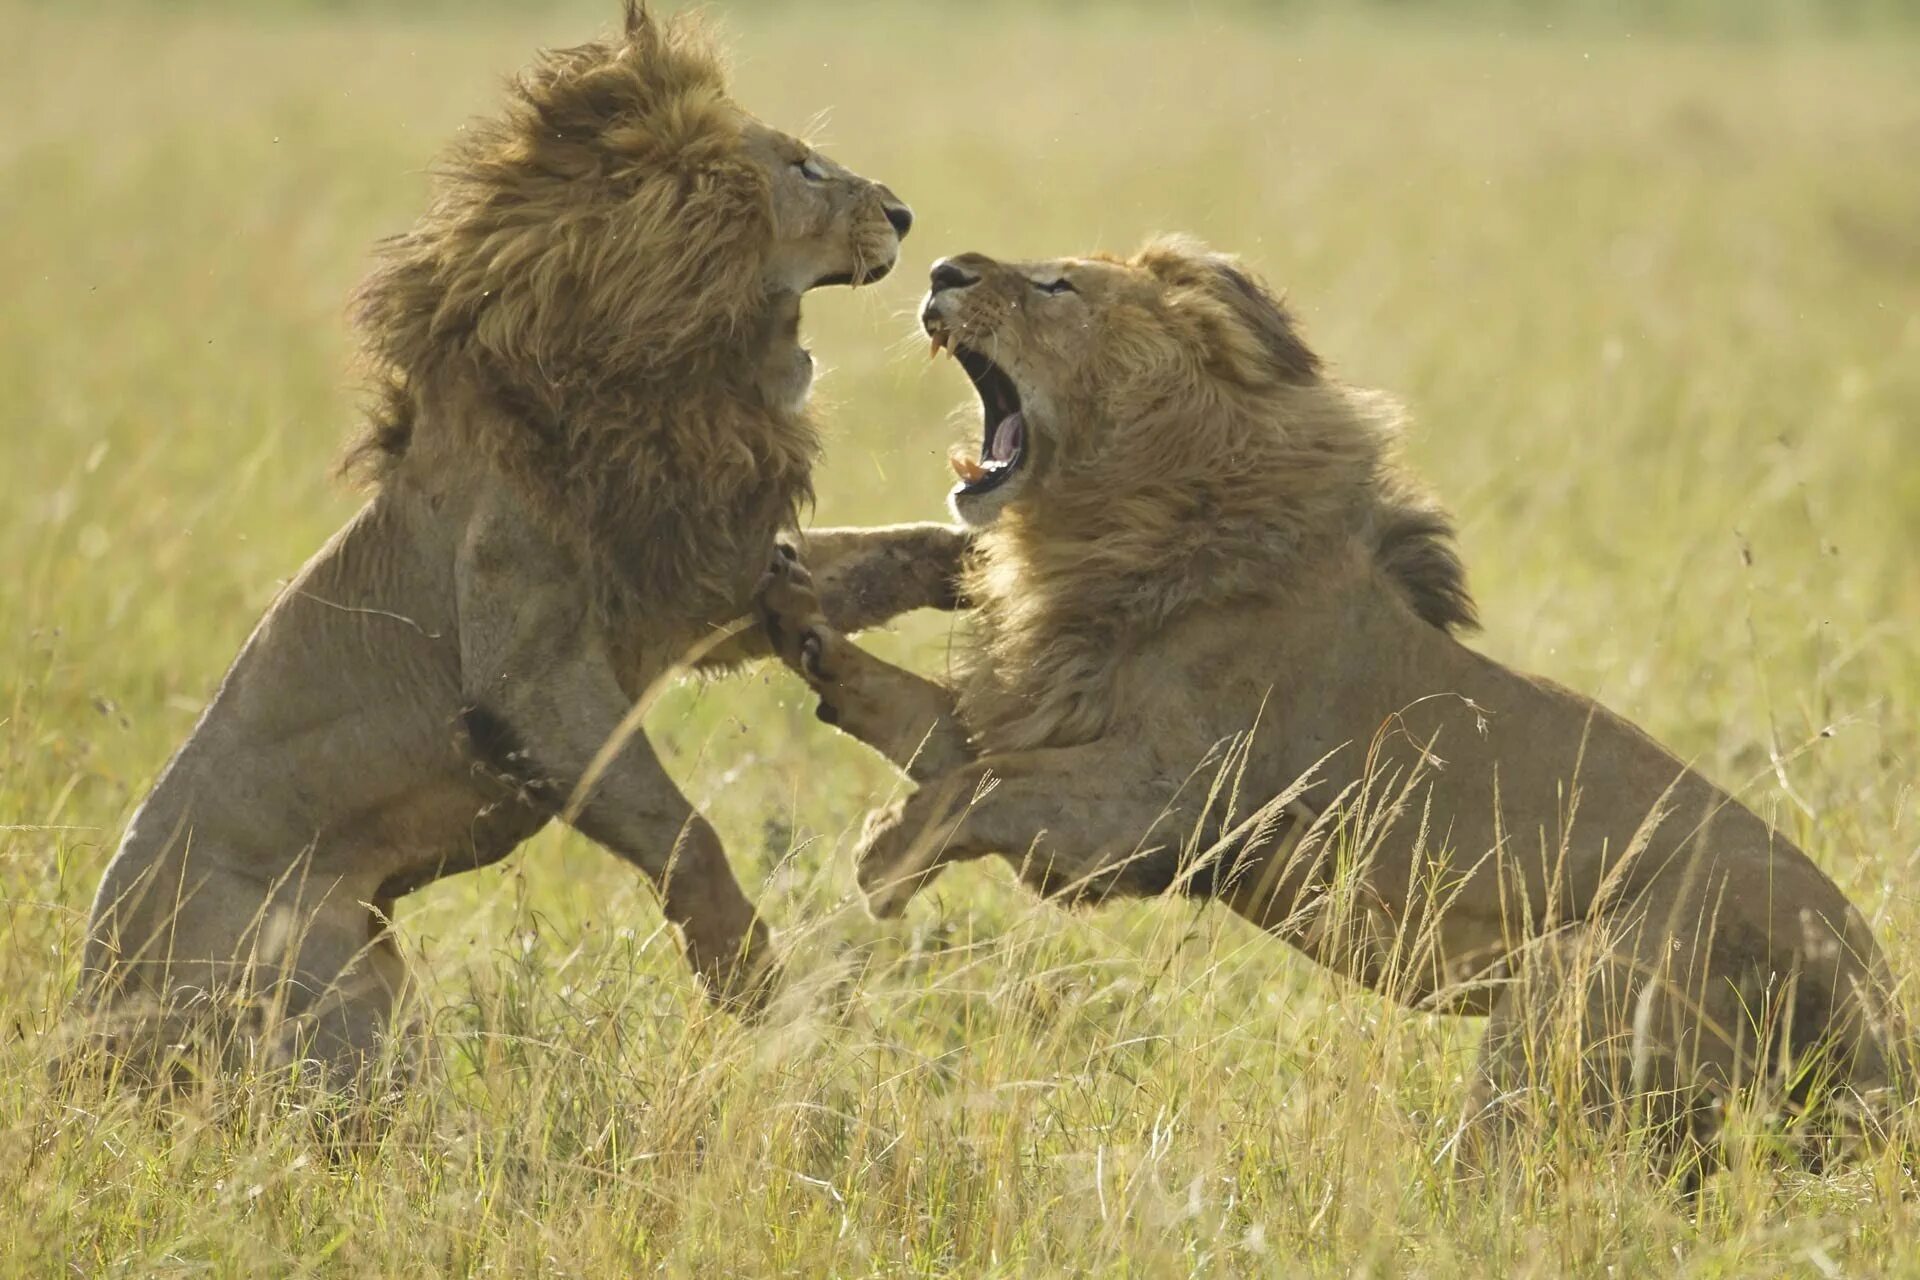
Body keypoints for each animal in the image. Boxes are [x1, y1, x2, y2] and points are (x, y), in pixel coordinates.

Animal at [760, 237, 1904, 1174]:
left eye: (1056, 285)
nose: (942, 269)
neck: (1121, 521)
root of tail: (1882, 1010)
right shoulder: (1058, 725)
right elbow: (934, 730)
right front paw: (803, 625)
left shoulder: (1157, 806)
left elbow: (981, 782)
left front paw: (883, 855)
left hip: (1570, 997)